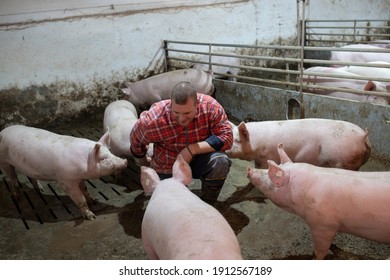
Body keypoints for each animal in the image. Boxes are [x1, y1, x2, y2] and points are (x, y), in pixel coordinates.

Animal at [0, 124, 128, 219]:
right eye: (103, 158)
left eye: (110, 152)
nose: (125, 161)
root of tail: (3, 131)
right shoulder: (66, 181)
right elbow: (80, 198)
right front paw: (91, 217)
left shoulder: (79, 178)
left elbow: (85, 189)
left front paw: (92, 201)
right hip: (4, 161)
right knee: (13, 178)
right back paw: (17, 197)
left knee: (31, 177)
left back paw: (41, 189)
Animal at [229, 118, 372, 171]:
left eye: (237, 141)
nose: (226, 150)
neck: (256, 143)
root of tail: (362, 137)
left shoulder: (267, 156)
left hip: (340, 160)